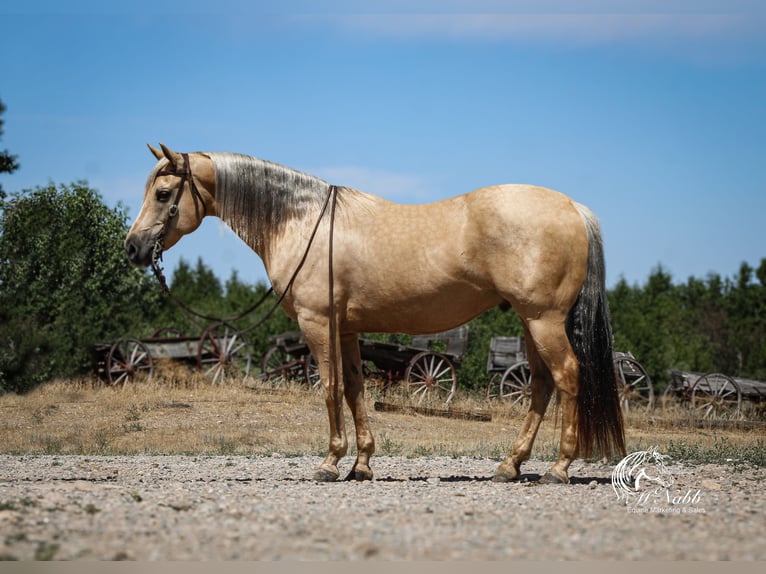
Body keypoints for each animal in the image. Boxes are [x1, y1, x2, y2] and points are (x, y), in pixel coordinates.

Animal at [125, 143, 625, 484]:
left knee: (567, 377)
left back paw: (558, 468)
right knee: (541, 386)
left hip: (543, 320)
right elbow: (354, 390)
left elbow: (329, 389)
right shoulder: (347, 330)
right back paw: (510, 465)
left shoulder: (317, 323)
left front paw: (330, 462)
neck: (301, 221)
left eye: (164, 193)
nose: (133, 248)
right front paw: (361, 464)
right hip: (530, 321)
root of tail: (573, 208)